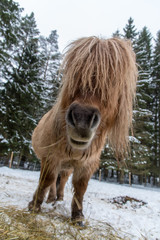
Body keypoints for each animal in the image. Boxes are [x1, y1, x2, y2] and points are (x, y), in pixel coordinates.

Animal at [28, 36, 137, 224]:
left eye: (113, 81)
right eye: (74, 74)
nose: (82, 119)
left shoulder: (87, 164)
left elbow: (80, 188)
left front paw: (77, 216)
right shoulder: (51, 157)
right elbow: (46, 180)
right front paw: (34, 205)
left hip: (67, 166)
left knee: (62, 180)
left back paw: (57, 199)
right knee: (53, 181)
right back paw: (50, 199)